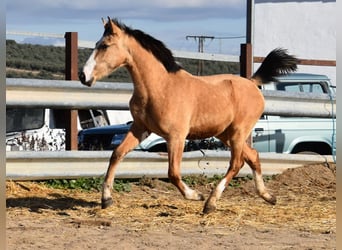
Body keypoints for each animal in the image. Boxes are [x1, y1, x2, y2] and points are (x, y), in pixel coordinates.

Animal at [79, 17, 298, 214]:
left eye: (105, 46)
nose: (83, 76)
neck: (159, 87)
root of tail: (252, 83)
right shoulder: (140, 129)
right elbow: (116, 155)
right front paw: (106, 200)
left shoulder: (176, 136)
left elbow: (173, 173)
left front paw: (195, 195)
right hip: (225, 134)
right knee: (253, 156)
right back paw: (268, 197)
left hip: (238, 132)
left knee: (237, 164)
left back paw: (210, 203)